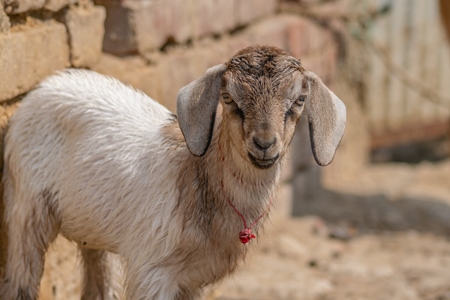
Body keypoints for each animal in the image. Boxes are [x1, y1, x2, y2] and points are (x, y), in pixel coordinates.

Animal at [0, 45, 346, 298]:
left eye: (299, 100)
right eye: (228, 98)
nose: (264, 144)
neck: (199, 179)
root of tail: (48, 83)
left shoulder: (192, 280)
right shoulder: (153, 272)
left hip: (94, 230)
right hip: (26, 205)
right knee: (19, 280)